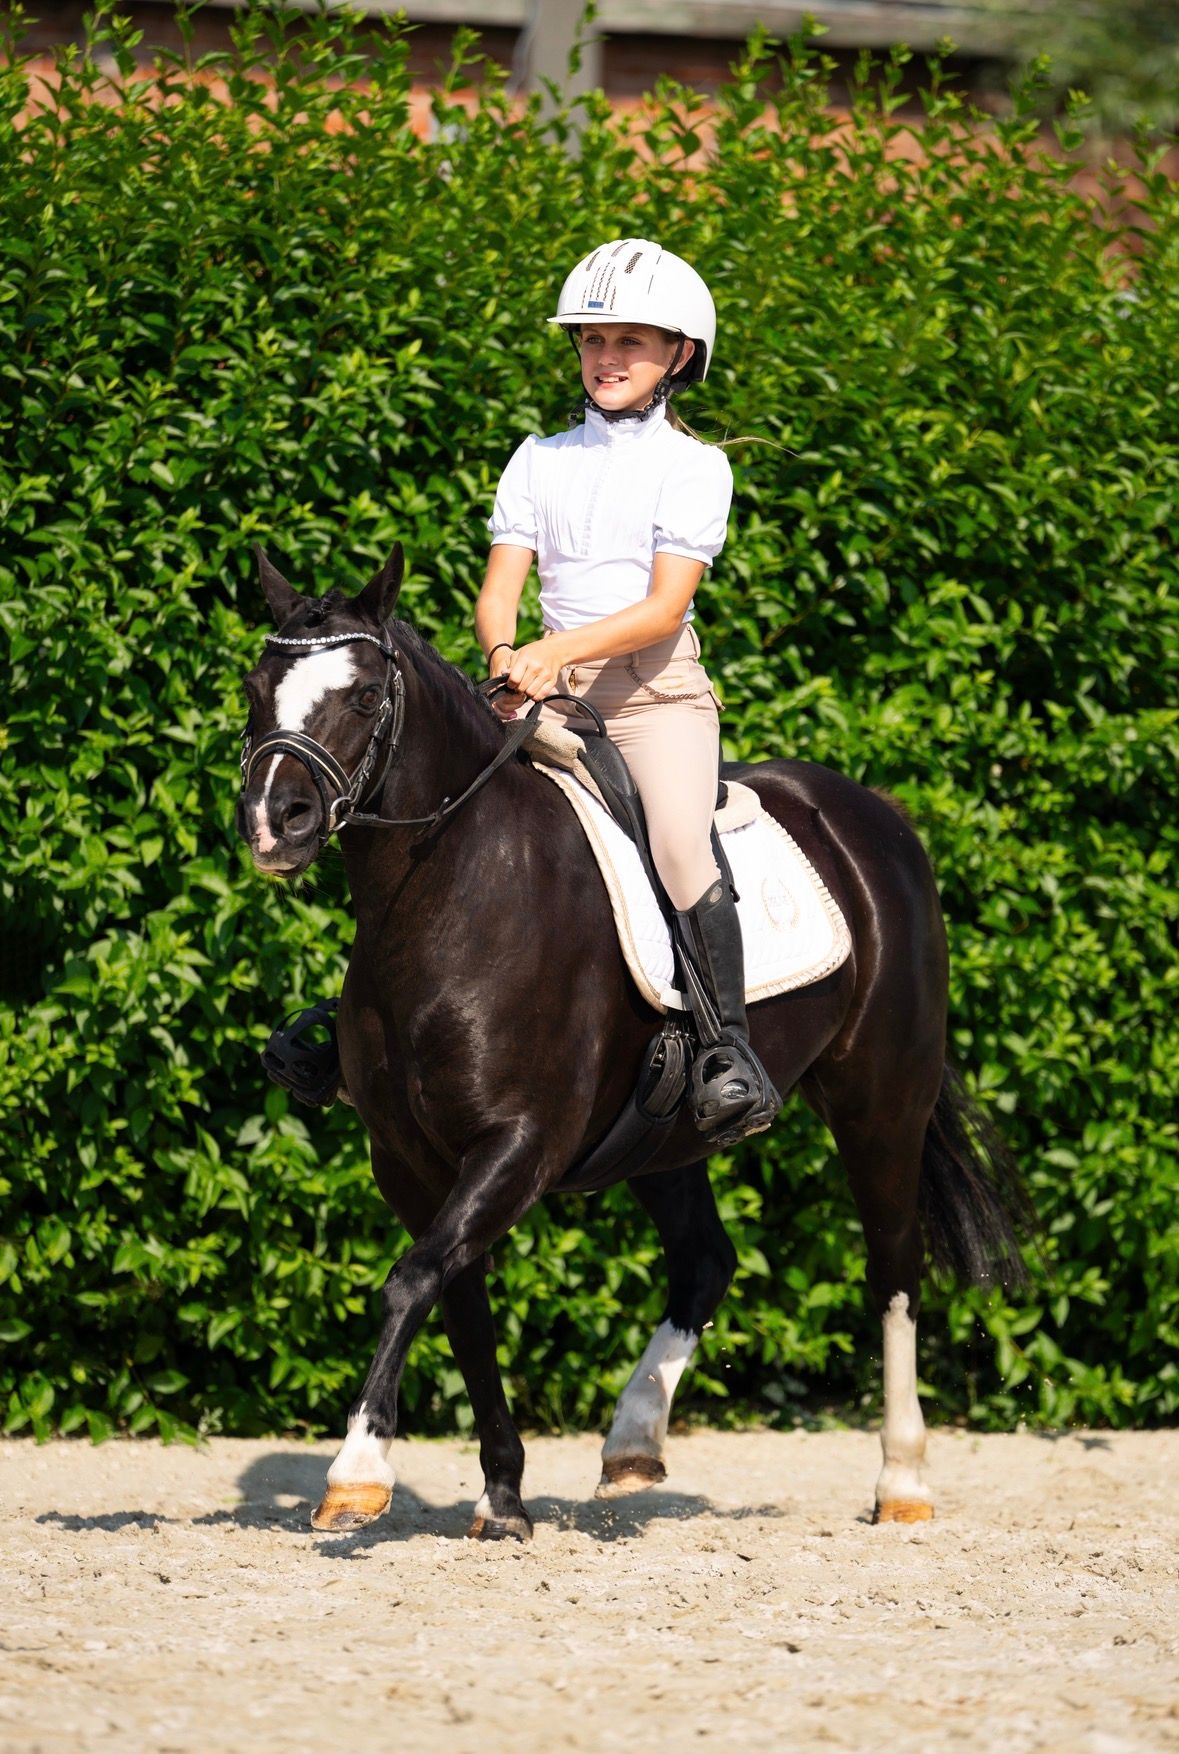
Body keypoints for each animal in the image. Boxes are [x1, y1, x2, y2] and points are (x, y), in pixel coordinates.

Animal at [234, 543, 1029, 1540]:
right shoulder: (409, 1159)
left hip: (880, 1103)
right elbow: (457, 1300)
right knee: (705, 1259)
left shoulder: (520, 1144)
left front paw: (357, 1472)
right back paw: (633, 1440)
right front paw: (502, 1498)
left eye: (365, 695)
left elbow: (413, 1281)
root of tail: (875, 817)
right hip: (662, 1136)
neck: (455, 892)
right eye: (256, 688)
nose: (275, 822)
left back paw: (902, 1483)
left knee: (893, 1268)